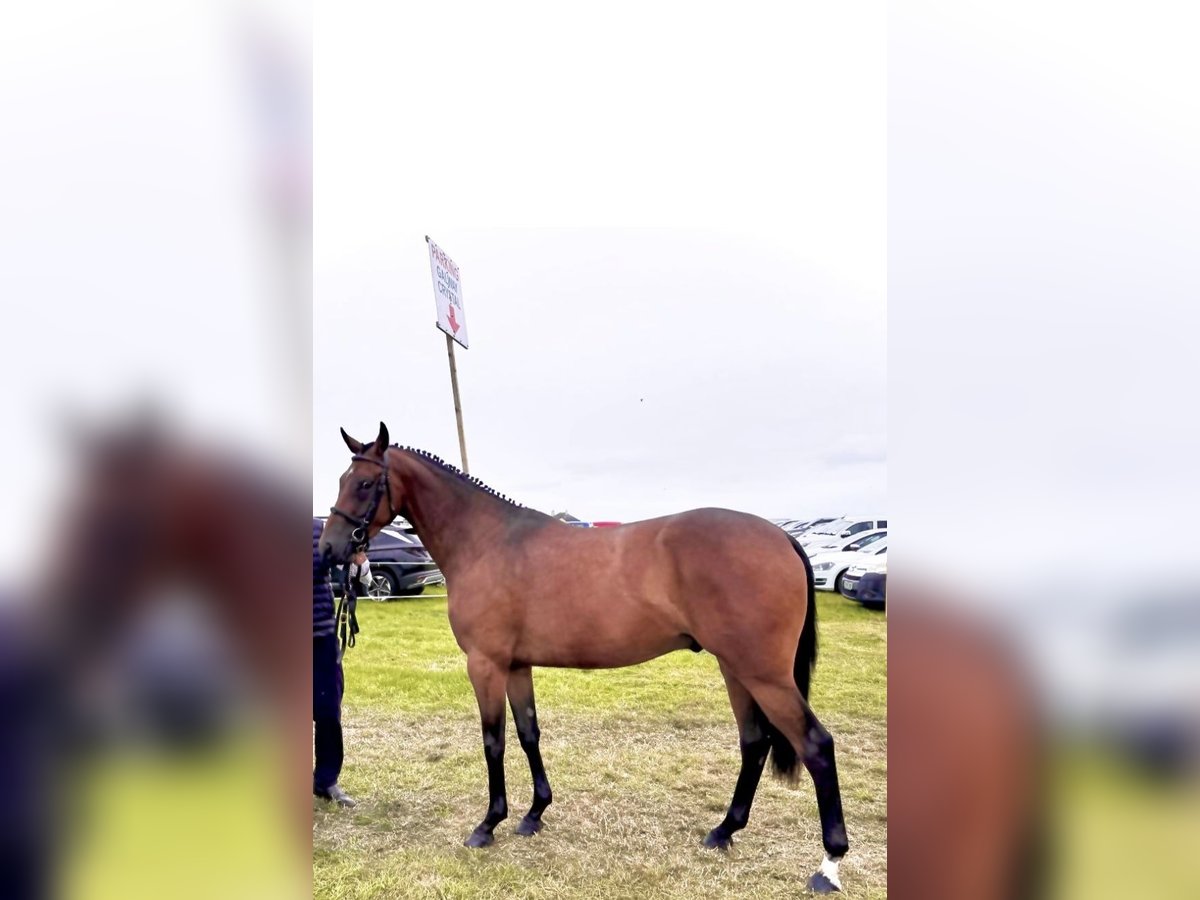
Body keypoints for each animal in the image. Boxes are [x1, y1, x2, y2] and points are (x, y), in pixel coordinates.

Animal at [319, 427, 854, 897]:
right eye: (341, 479)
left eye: (364, 483)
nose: (329, 549)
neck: (487, 542)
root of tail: (780, 537)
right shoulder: (516, 666)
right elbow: (528, 733)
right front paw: (534, 814)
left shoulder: (486, 664)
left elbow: (494, 741)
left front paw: (488, 824)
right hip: (736, 669)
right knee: (755, 742)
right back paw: (724, 831)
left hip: (763, 674)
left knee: (815, 746)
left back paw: (828, 865)